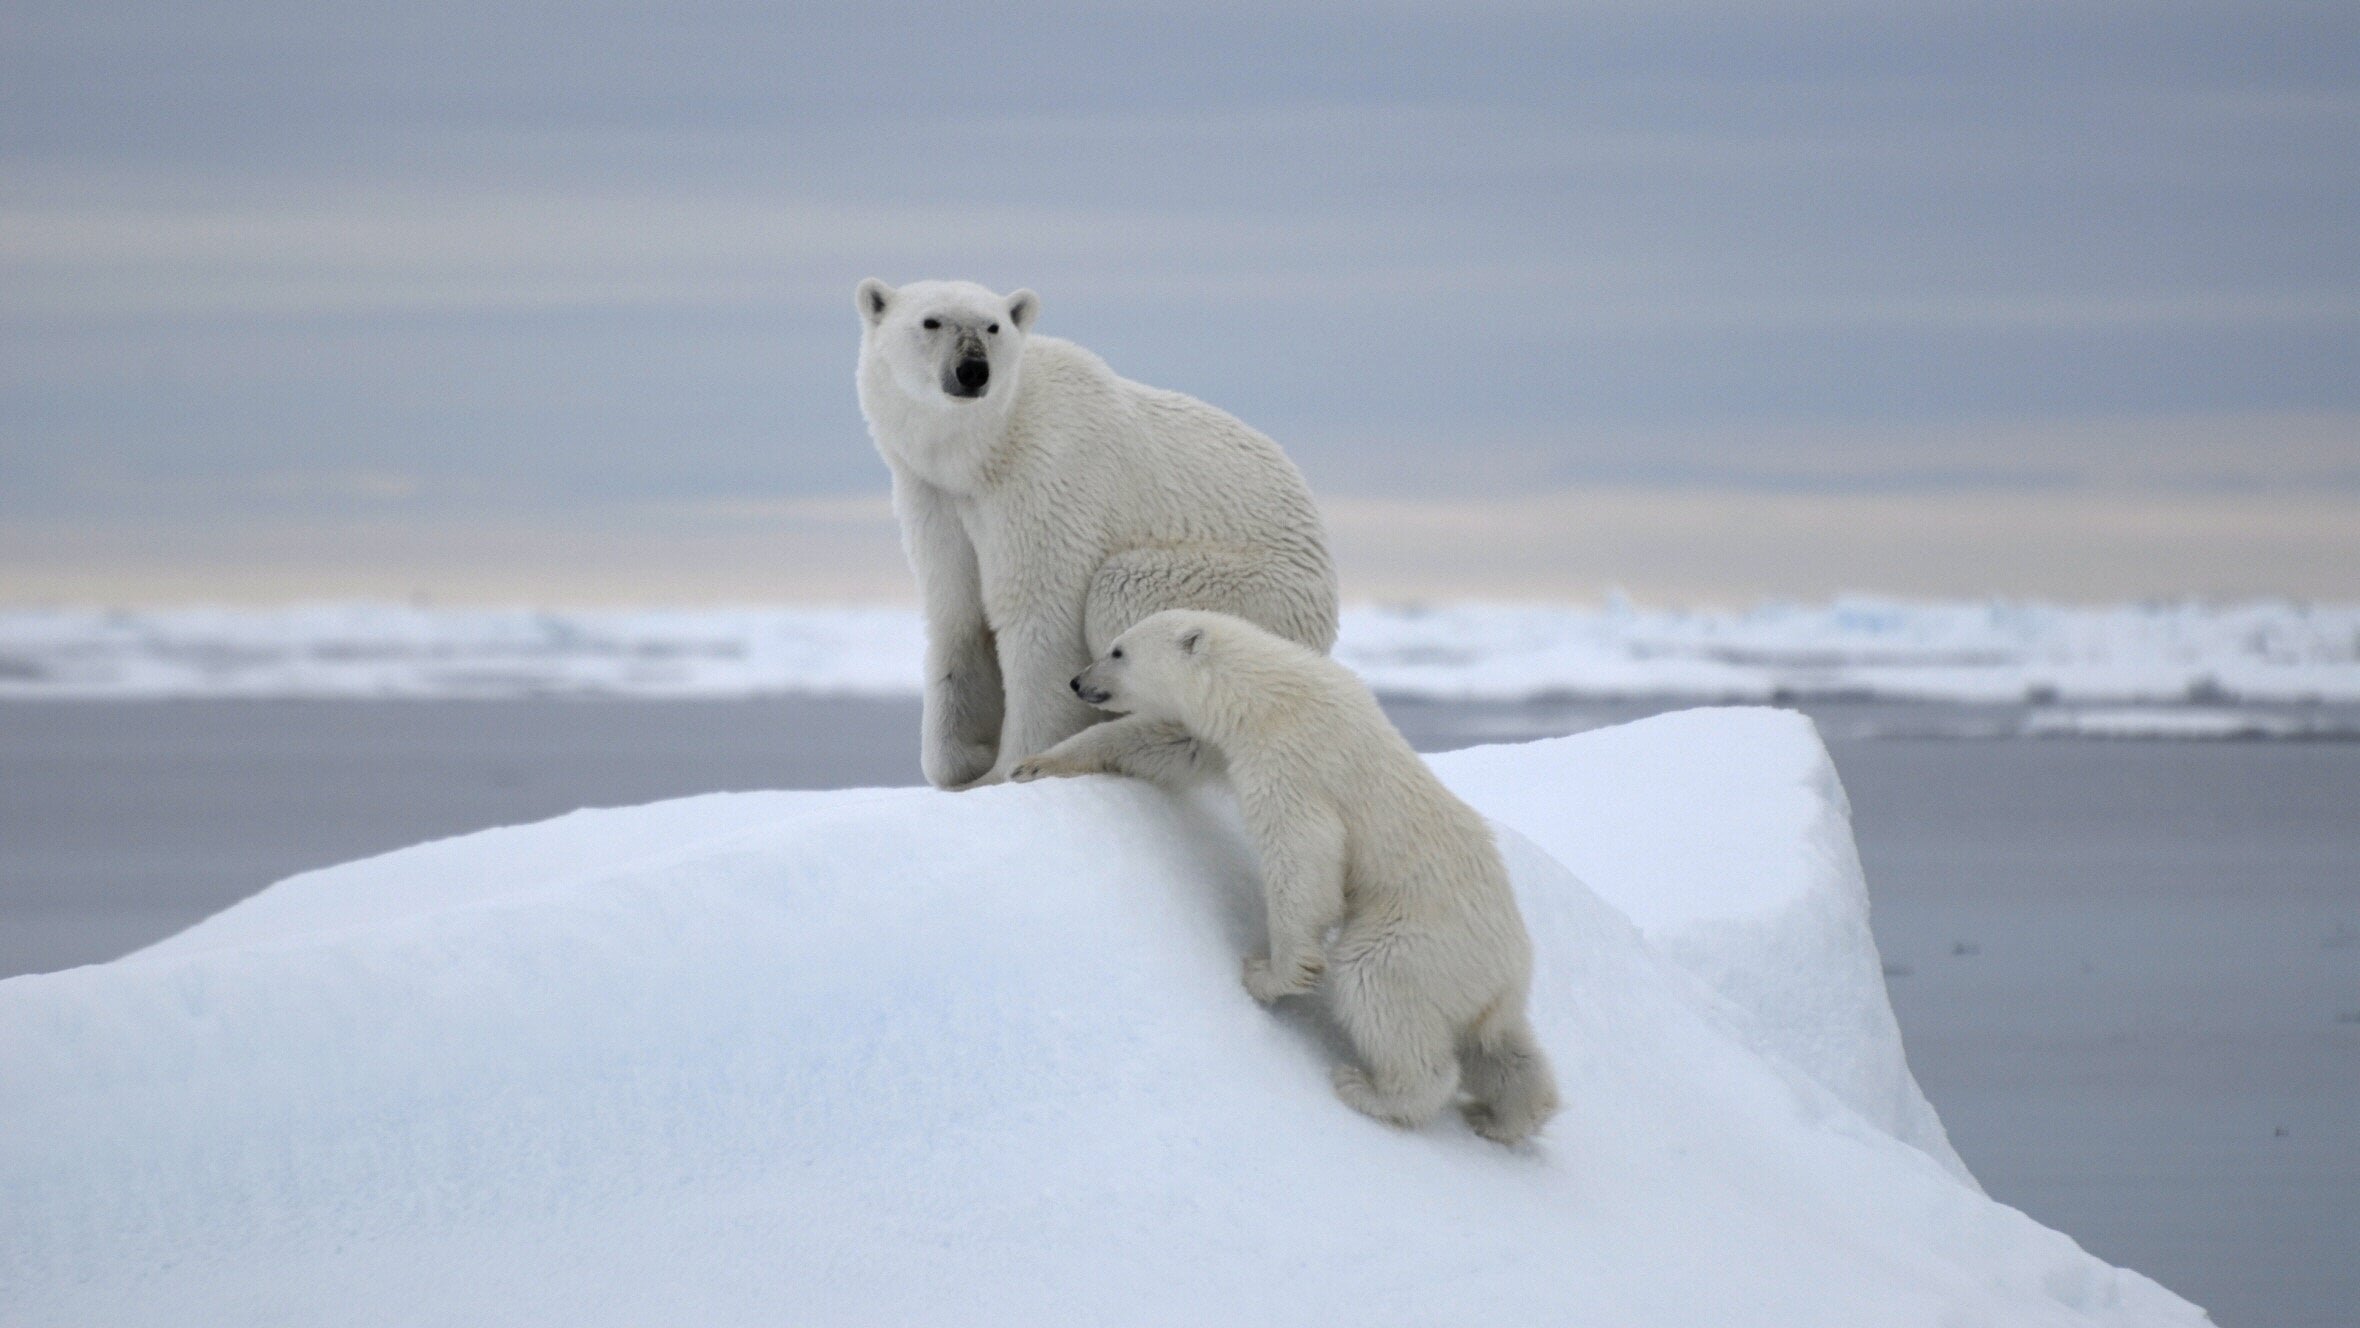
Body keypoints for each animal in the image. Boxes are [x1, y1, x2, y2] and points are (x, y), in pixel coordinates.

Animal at [859, 273, 1340, 783]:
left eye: (992, 327)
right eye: (931, 321)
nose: (973, 371)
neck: (985, 452)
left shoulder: (1046, 478)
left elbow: (1038, 616)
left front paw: (1011, 766)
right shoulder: (934, 495)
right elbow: (957, 610)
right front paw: (961, 760)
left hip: (1258, 594)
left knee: (1121, 589)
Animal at [1005, 608, 1557, 1141]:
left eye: (1118, 650)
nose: (1077, 680)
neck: (1265, 693)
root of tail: (1511, 967)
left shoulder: (1289, 758)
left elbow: (1304, 856)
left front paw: (1270, 973)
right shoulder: (1219, 739)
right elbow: (1162, 742)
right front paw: (1035, 764)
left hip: (1419, 934)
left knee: (1377, 984)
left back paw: (1371, 1091)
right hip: (1474, 980)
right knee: (1499, 1045)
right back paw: (1506, 1115)